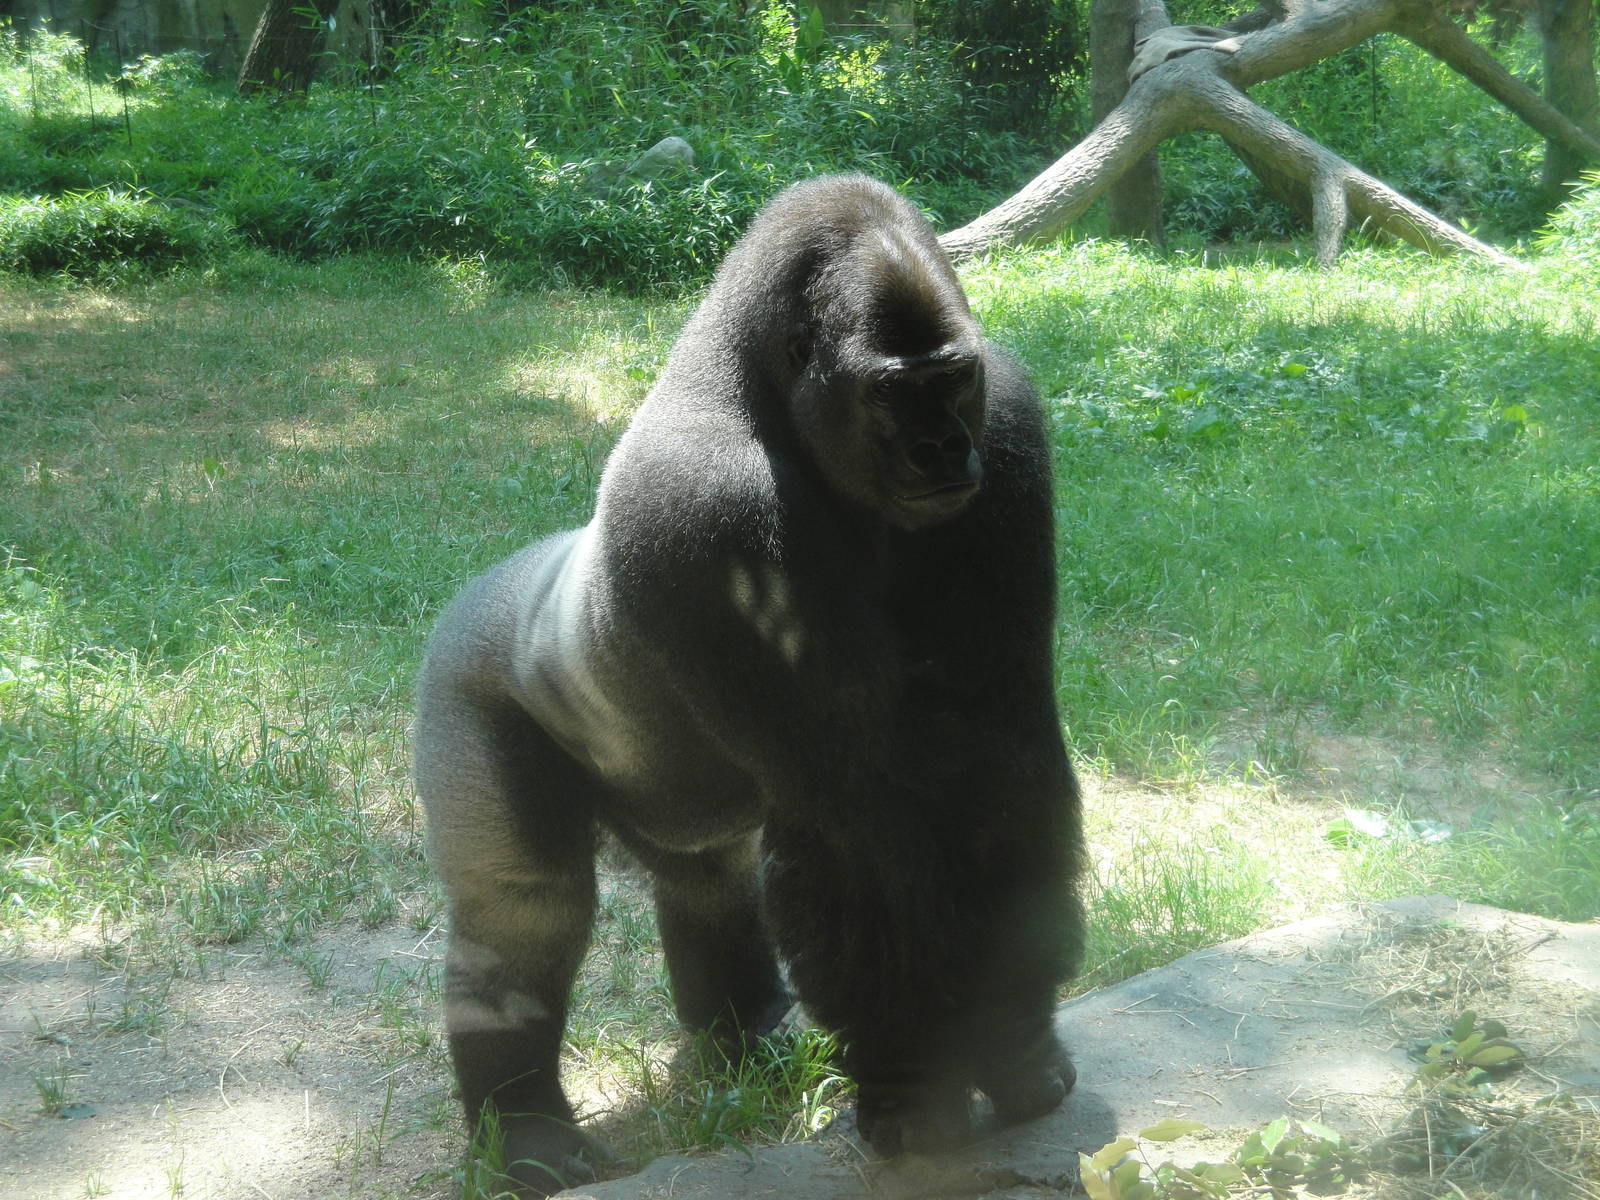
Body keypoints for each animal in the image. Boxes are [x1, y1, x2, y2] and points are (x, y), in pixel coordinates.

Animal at [414, 174, 1084, 1197]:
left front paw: (1013, 1030)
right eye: (895, 392)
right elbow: (862, 820)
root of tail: (477, 586)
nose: (941, 450)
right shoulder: (711, 504)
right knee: (523, 911)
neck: (757, 391)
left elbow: (999, 751)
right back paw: (524, 1124)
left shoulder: (1004, 422)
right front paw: (915, 1077)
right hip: (461, 677)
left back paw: (745, 1042)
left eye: (952, 380)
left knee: (708, 881)